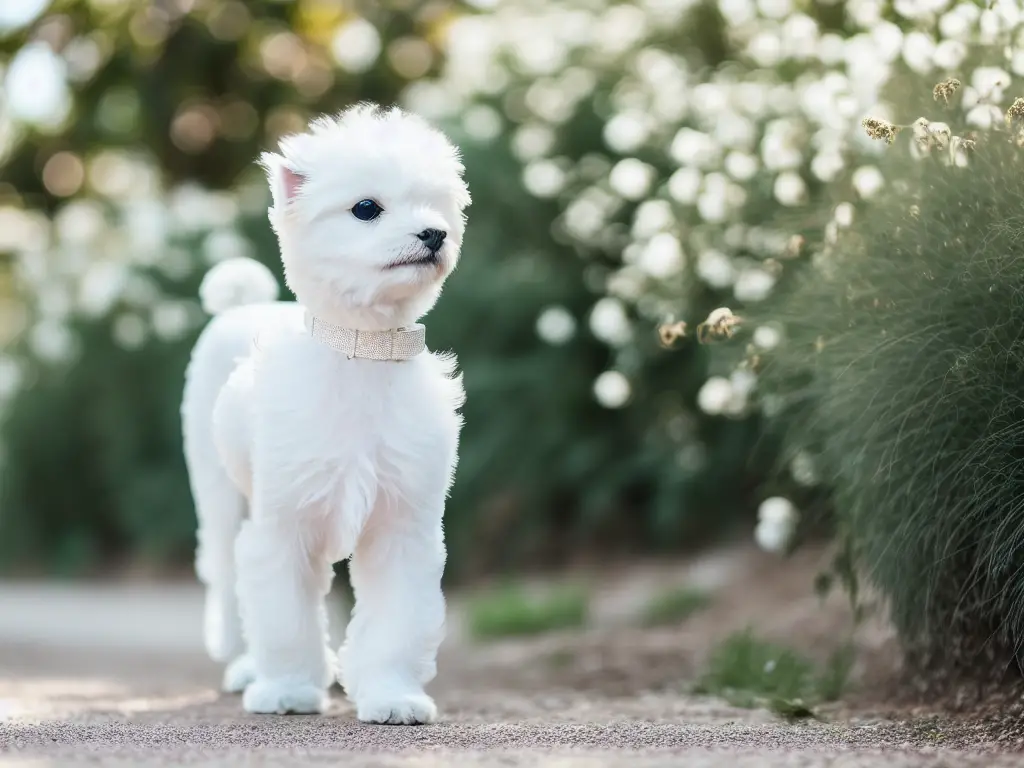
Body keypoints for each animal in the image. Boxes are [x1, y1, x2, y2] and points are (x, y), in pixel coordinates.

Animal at [182, 105, 468, 724]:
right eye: (366, 208)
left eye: (437, 206)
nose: (434, 233)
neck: (362, 351)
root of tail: (243, 306)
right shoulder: (282, 523)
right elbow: (283, 619)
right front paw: (288, 689)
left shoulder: (402, 527)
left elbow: (396, 624)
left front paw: (391, 695)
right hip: (218, 497)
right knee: (228, 584)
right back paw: (247, 670)